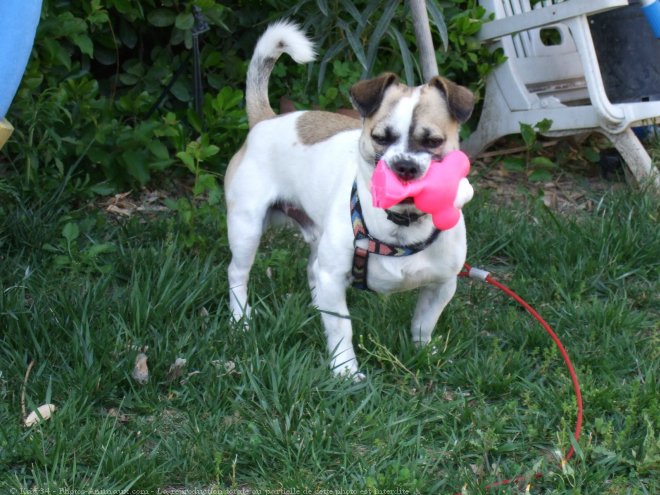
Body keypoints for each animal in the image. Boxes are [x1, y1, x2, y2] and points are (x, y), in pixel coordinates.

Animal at [227, 20, 474, 380]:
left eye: (433, 142)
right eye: (380, 138)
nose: (405, 166)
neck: (401, 224)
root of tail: (266, 119)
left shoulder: (442, 285)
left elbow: (423, 323)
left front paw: (423, 353)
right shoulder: (334, 278)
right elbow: (342, 328)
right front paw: (345, 370)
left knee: (312, 270)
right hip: (246, 228)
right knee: (238, 273)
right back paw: (239, 319)